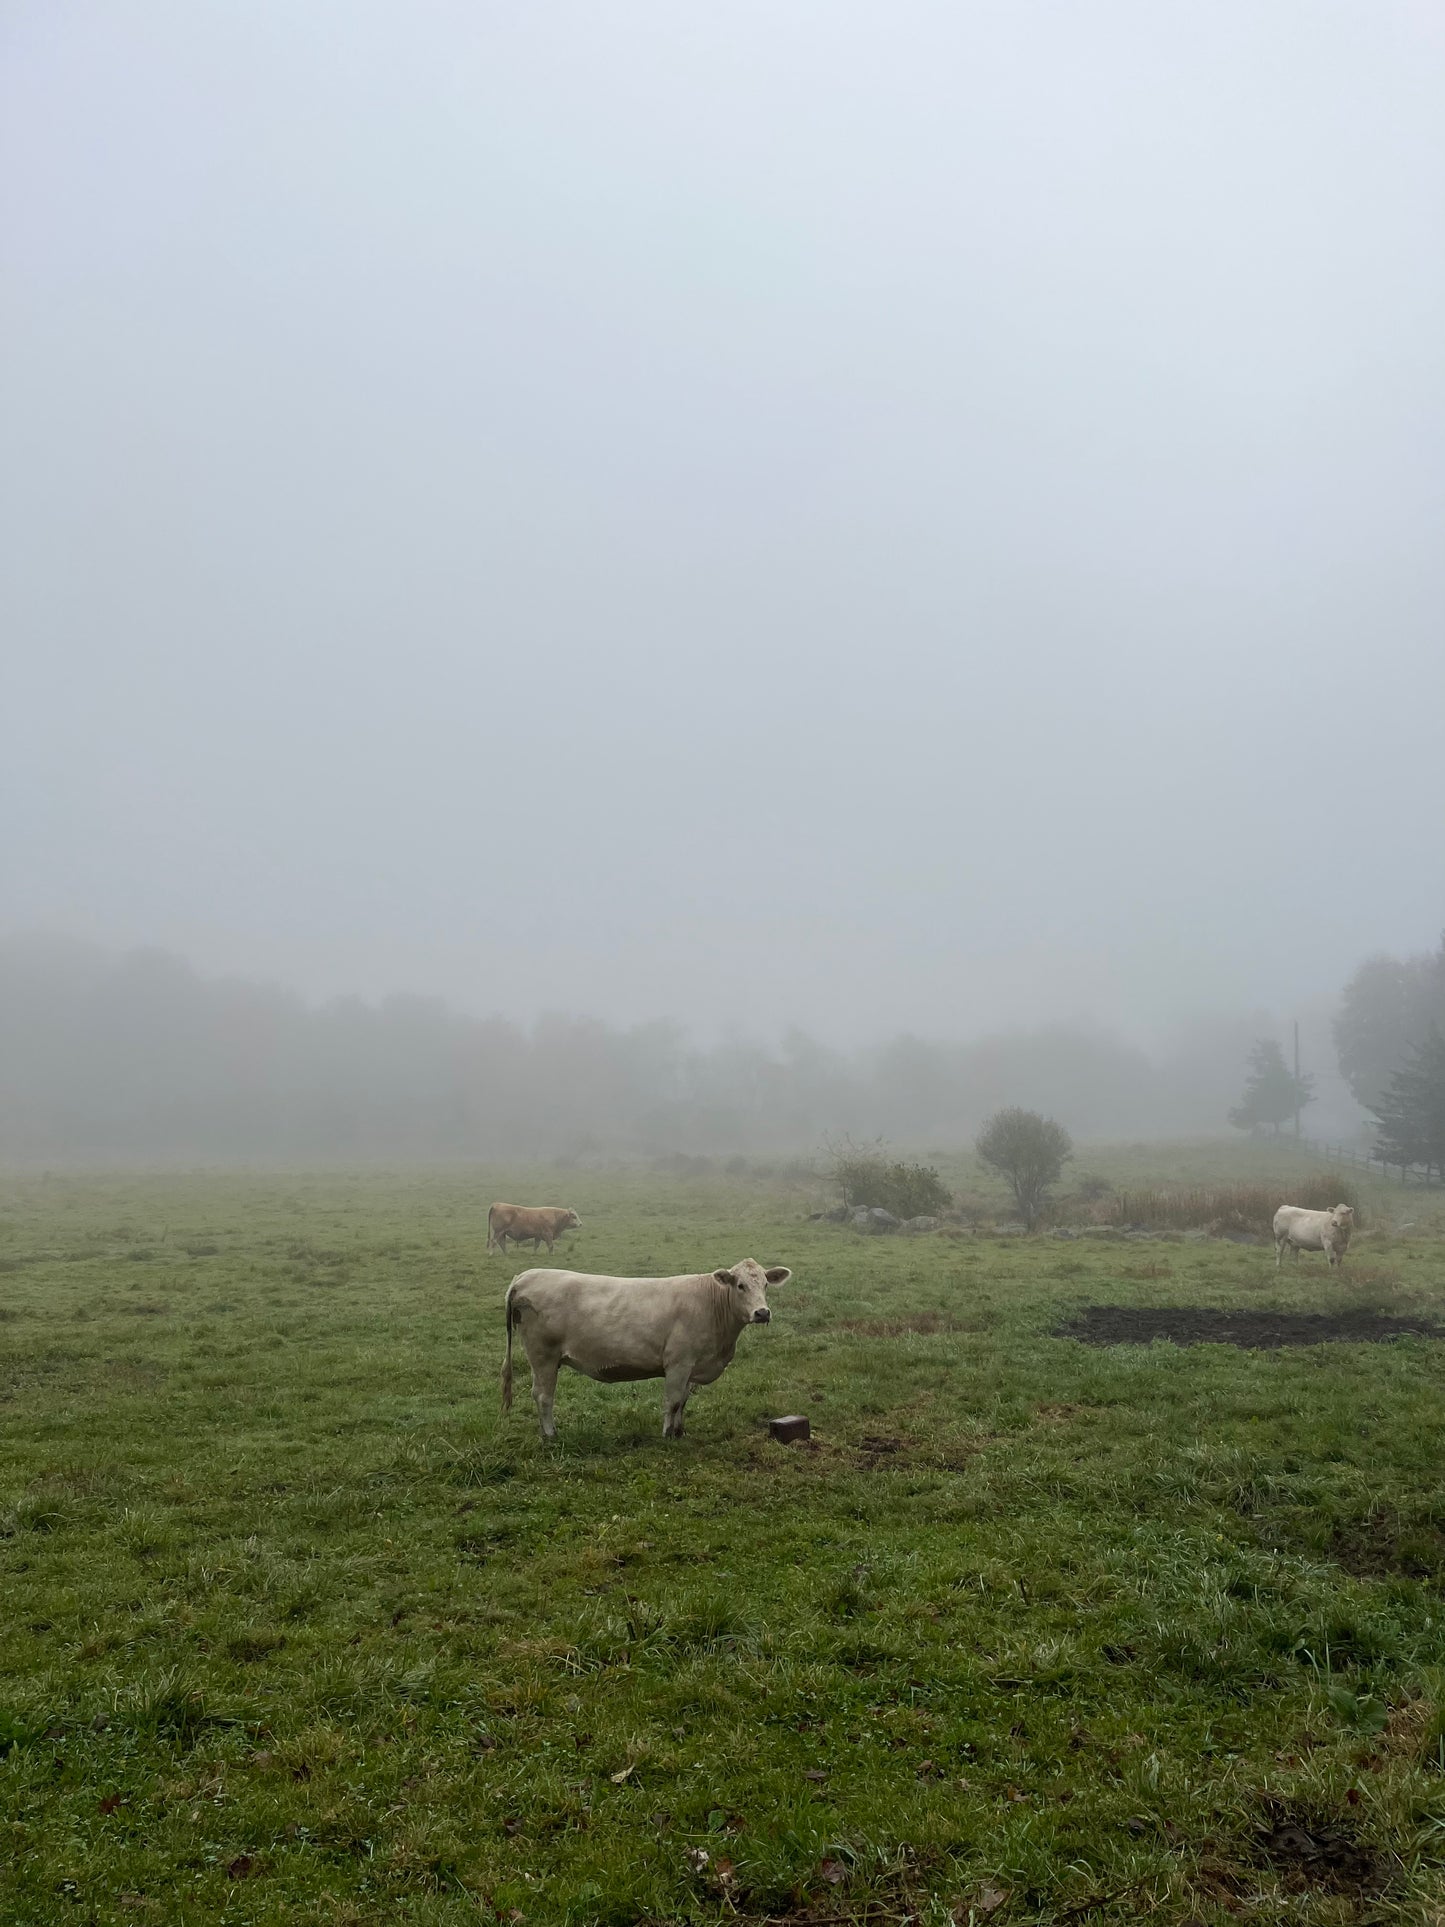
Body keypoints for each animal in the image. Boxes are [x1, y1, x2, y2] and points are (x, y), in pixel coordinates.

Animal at [497, 1256, 793, 1441]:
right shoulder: (678, 1363)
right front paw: (666, 1435)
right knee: (543, 1396)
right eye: (740, 1285)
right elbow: (672, 1401)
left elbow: (684, 1400)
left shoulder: (691, 1366)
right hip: (543, 1355)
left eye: (765, 1284)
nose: (762, 1312)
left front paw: (679, 1431)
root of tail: (525, 1276)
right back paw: (550, 1434)